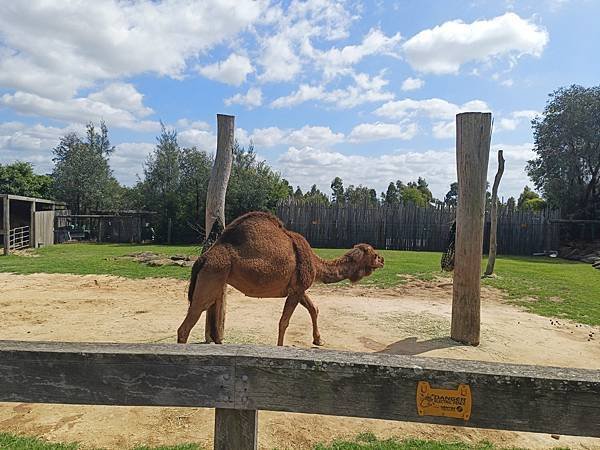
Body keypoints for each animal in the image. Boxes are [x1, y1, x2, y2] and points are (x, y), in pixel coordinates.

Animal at [176, 213, 386, 346]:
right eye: (374, 254)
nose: (383, 260)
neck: (315, 263)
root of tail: (203, 258)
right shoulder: (297, 289)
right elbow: (284, 322)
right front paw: (280, 348)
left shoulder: (298, 289)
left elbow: (313, 309)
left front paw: (319, 340)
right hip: (212, 276)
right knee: (186, 324)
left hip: (217, 280)